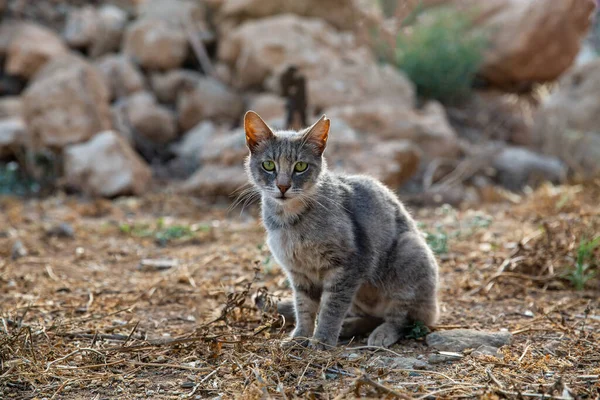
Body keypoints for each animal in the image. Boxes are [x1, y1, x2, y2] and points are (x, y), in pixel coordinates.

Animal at [245, 111, 440, 348]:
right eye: (268, 165)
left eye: (300, 166)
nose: (283, 186)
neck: (290, 220)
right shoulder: (299, 273)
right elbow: (304, 308)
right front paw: (300, 337)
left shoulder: (348, 265)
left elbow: (332, 308)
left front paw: (322, 340)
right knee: (371, 316)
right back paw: (350, 326)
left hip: (409, 252)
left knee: (401, 317)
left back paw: (381, 333)